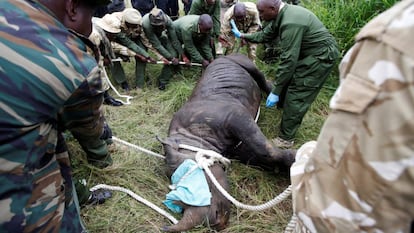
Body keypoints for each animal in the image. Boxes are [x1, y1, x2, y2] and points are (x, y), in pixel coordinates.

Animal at [160, 54, 296, 231]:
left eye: (195, 172)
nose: (214, 223)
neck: (191, 137)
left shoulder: (234, 116)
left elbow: (262, 146)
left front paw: (296, 159)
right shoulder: (235, 147)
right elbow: (257, 154)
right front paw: (283, 168)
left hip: (237, 59)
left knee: (255, 72)